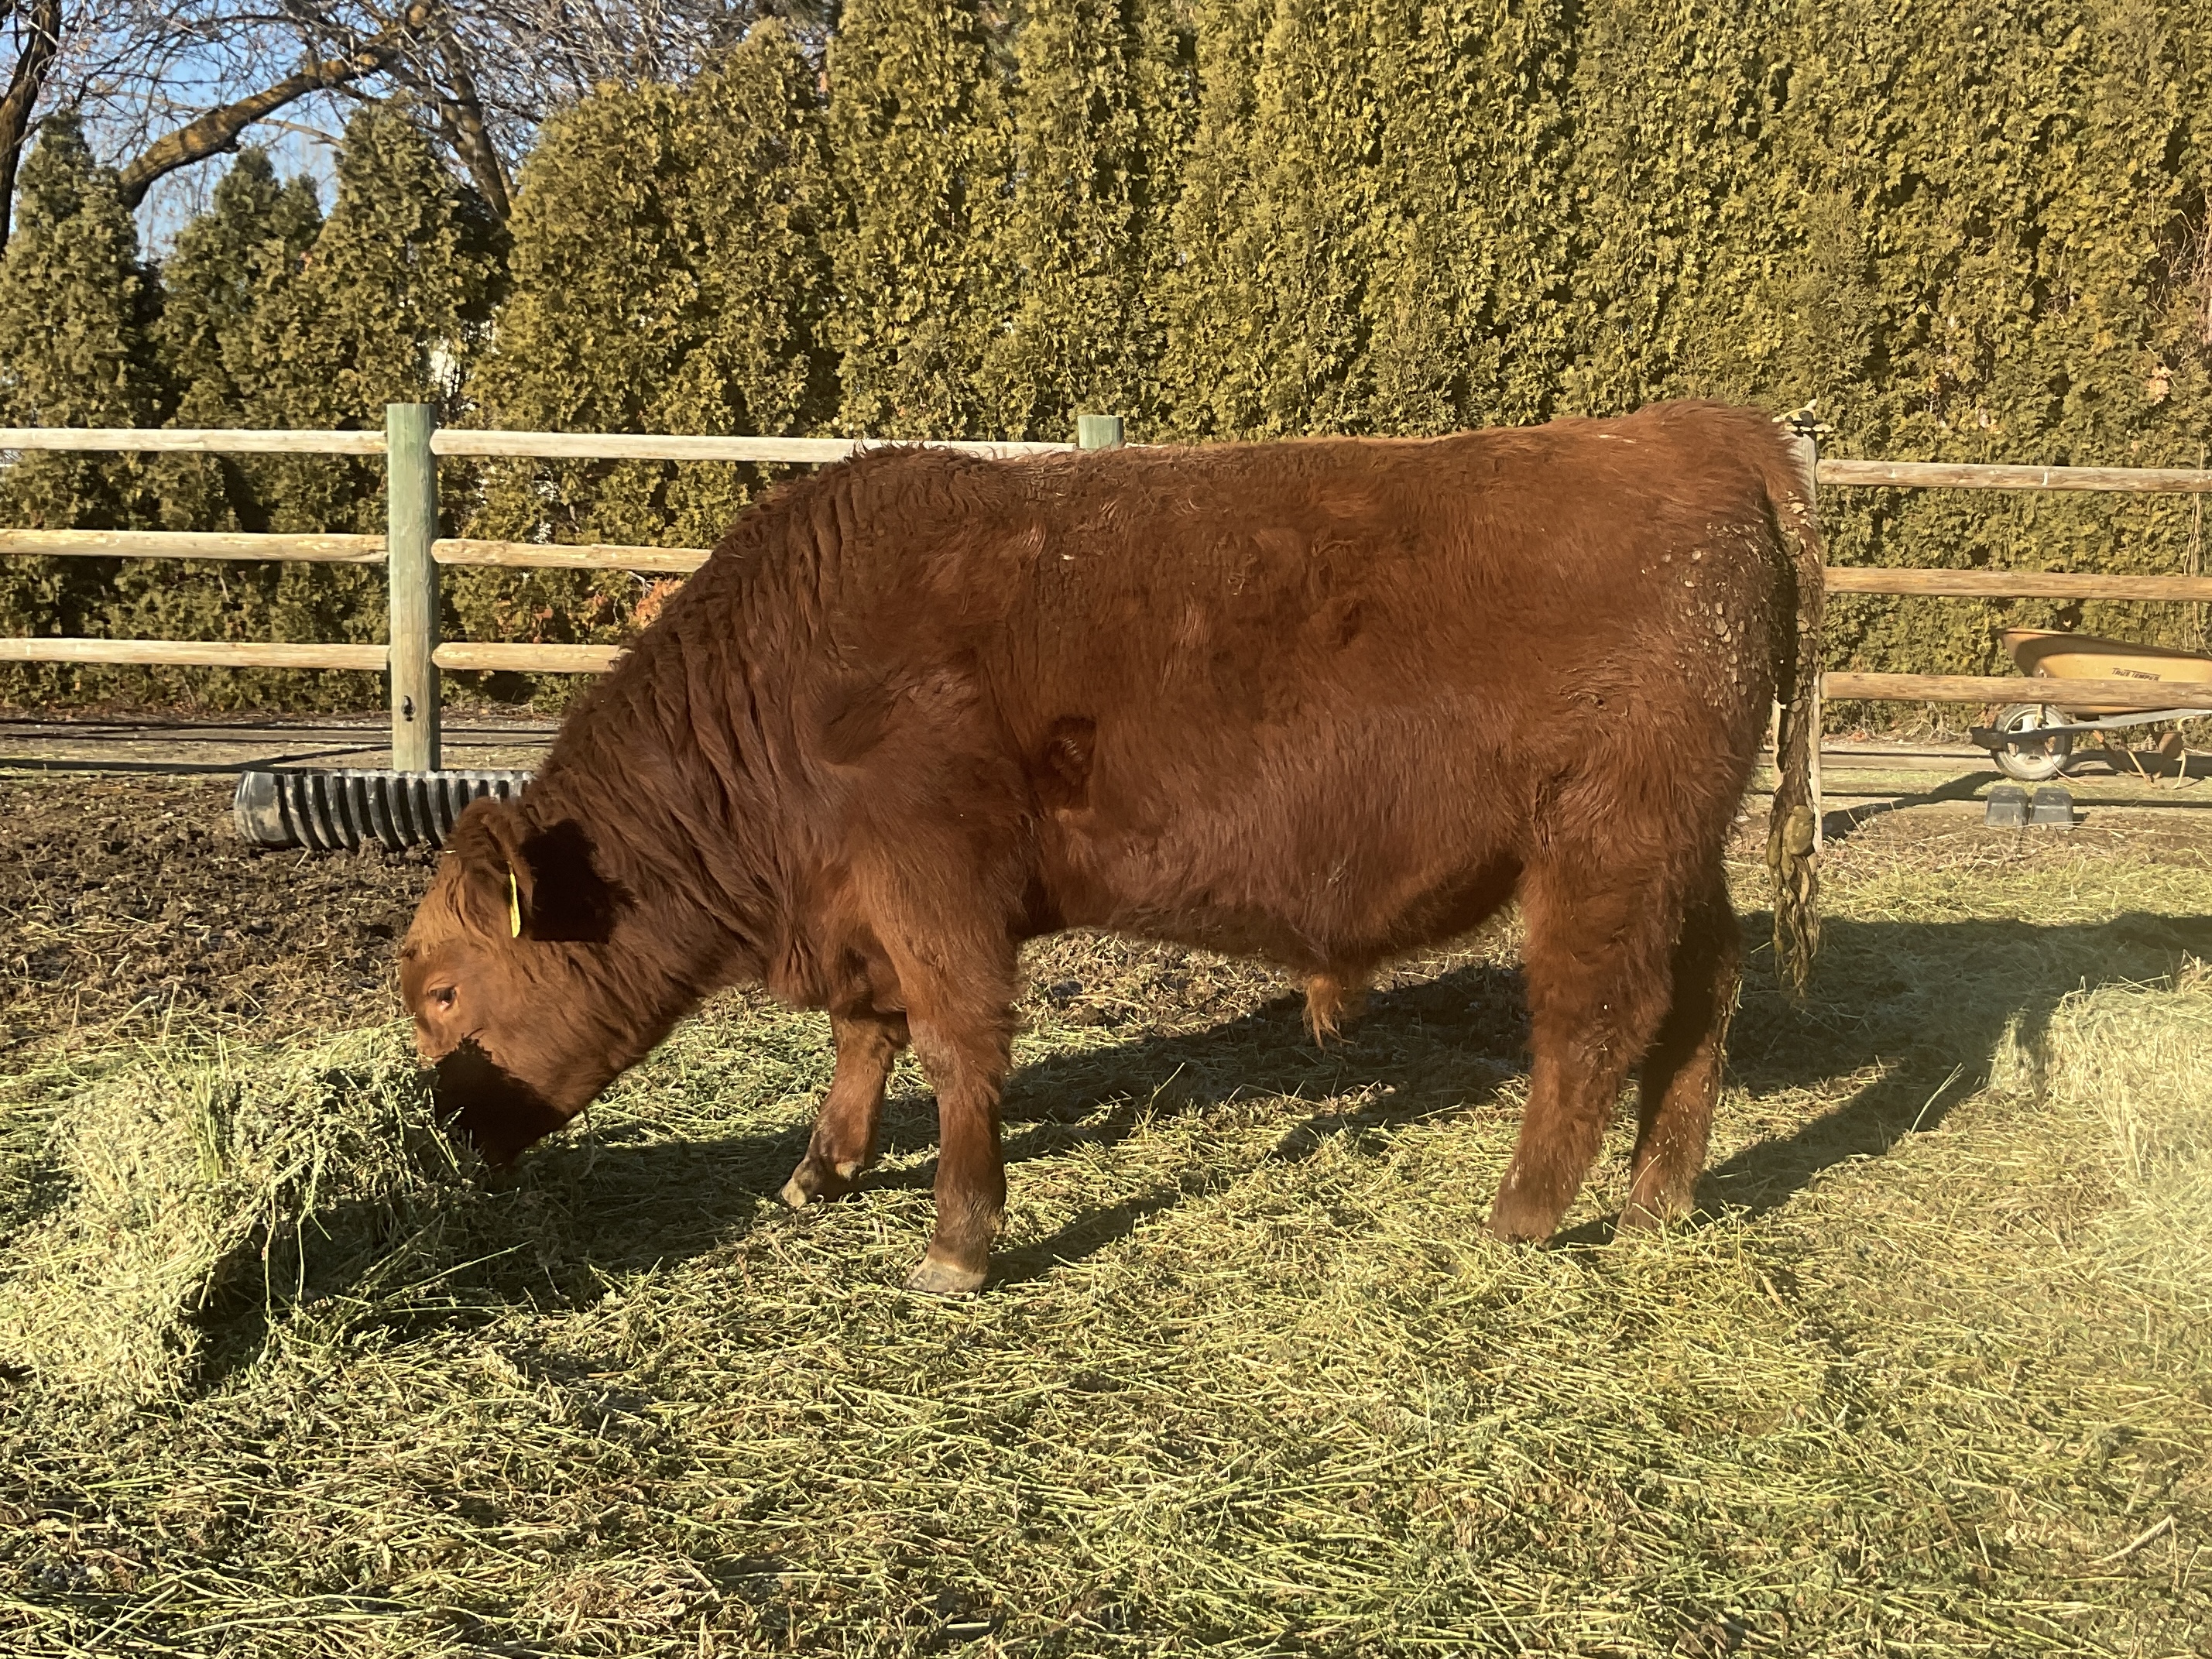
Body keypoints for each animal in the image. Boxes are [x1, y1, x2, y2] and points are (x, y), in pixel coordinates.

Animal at [398, 403, 1813, 1301]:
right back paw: (1658, 1197)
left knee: (1592, 1018)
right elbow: (869, 1034)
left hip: (1604, 841)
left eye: (444, 991)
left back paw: (1523, 1213)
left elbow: (957, 1045)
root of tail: (1698, 430)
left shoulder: (933, 884)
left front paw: (957, 1243)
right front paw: (823, 1167)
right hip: (1682, 851)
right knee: (1704, 992)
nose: (443, 1137)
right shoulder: (868, 909)